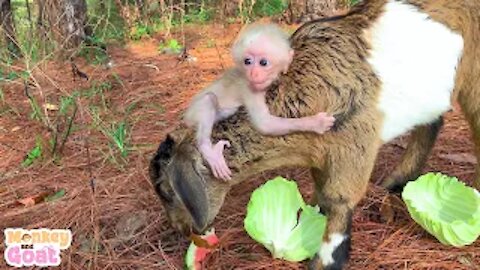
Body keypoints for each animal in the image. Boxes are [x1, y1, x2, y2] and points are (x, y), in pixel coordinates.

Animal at [184, 22, 334, 179]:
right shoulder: (249, 88)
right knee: (209, 99)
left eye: (263, 62)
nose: (253, 73)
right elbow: (264, 123)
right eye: (248, 61)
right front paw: (316, 123)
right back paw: (209, 151)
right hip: (194, 112)